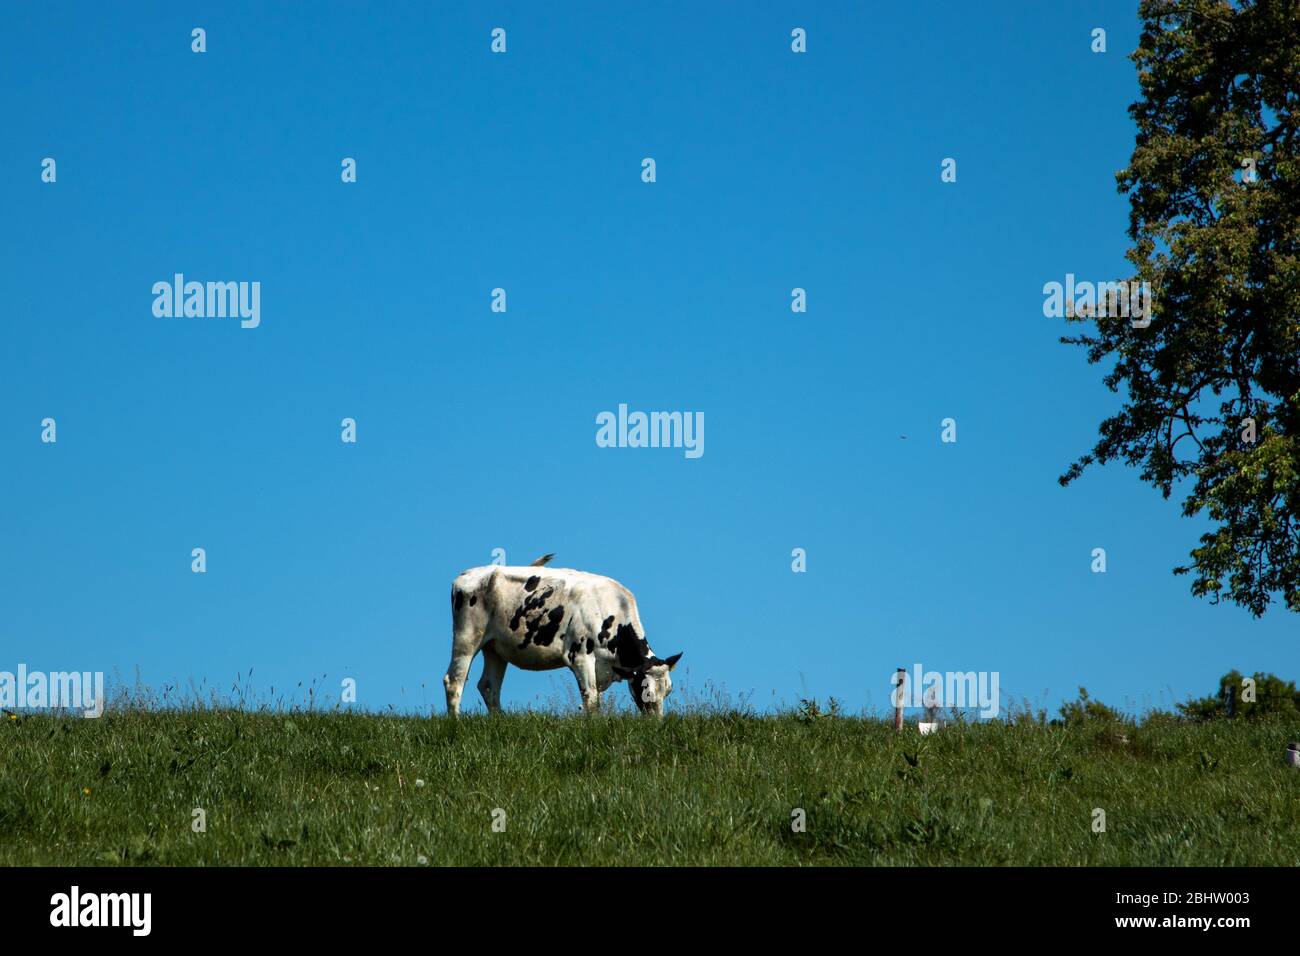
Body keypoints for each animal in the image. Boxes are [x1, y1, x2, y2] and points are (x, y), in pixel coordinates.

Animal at [443, 555, 682, 716]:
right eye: (646, 691)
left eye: (668, 691)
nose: (655, 724)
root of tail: (466, 574)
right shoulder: (580, 656)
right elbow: (590, 698)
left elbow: (596, 696)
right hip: (467, 637)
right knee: (454, 681)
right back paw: (456, 723)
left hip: (494, 647)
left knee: (489, 686)